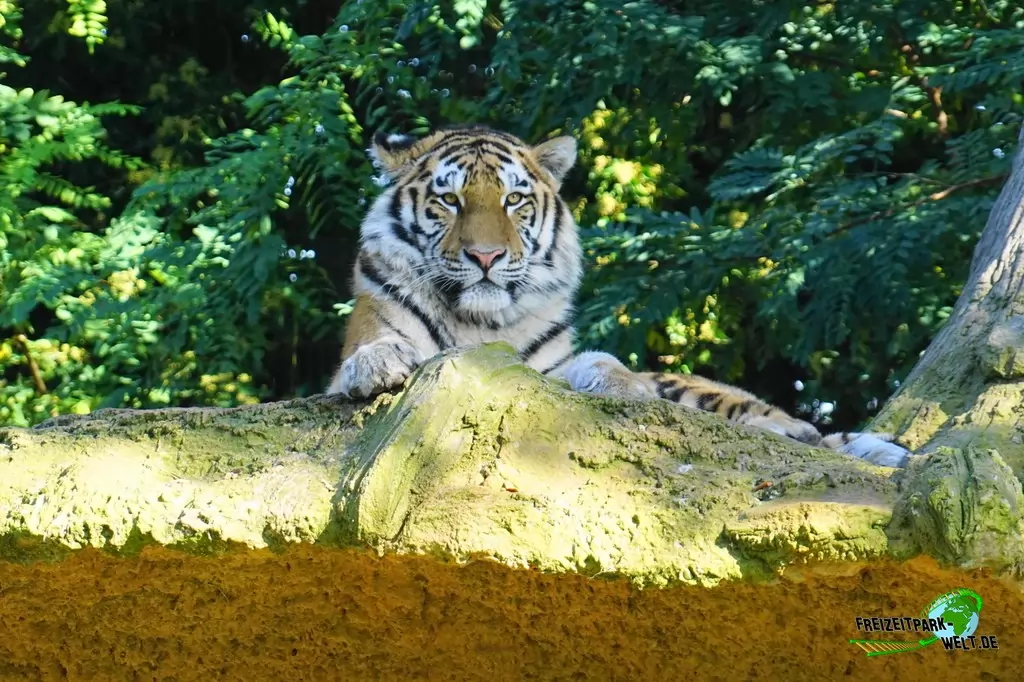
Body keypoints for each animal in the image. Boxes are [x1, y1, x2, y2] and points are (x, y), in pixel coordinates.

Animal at [324, 124, 910, 468]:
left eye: (514, 200)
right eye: (449, 200)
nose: (486, 257)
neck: (479, 322)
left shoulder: (545, 369)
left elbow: (600, 362)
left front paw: (626, 385)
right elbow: (375, 350)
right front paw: (377, 365)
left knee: (788, 426)